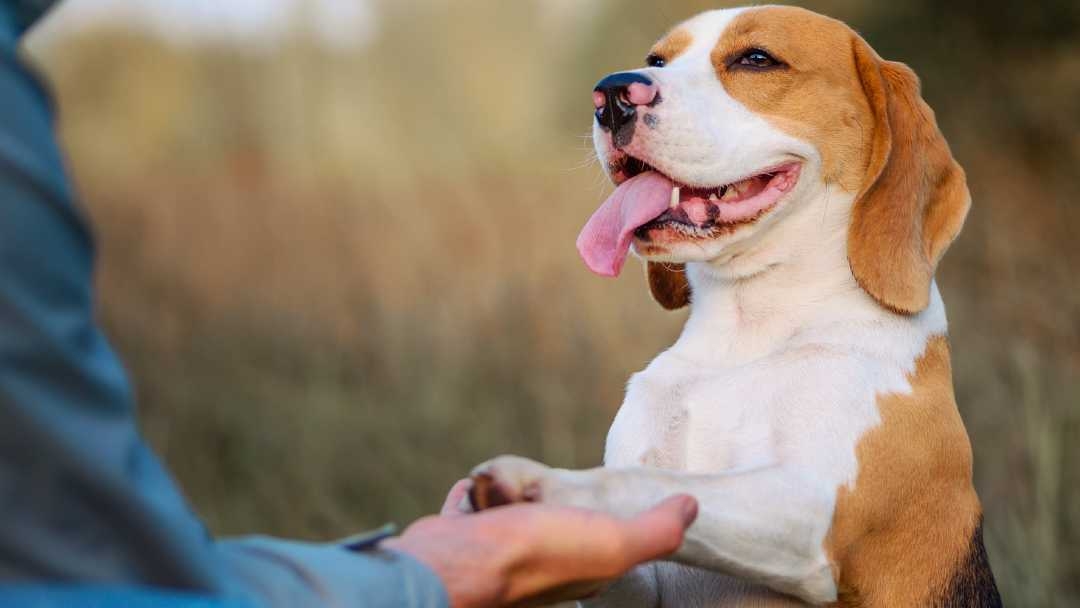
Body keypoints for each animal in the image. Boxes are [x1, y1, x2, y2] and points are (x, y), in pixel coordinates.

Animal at [468, 5, 997, 608]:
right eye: (657, 60)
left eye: (756, 59)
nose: (611, 95)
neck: (748, 329)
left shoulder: (807, 510)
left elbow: (647, 483)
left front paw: (542, 484)